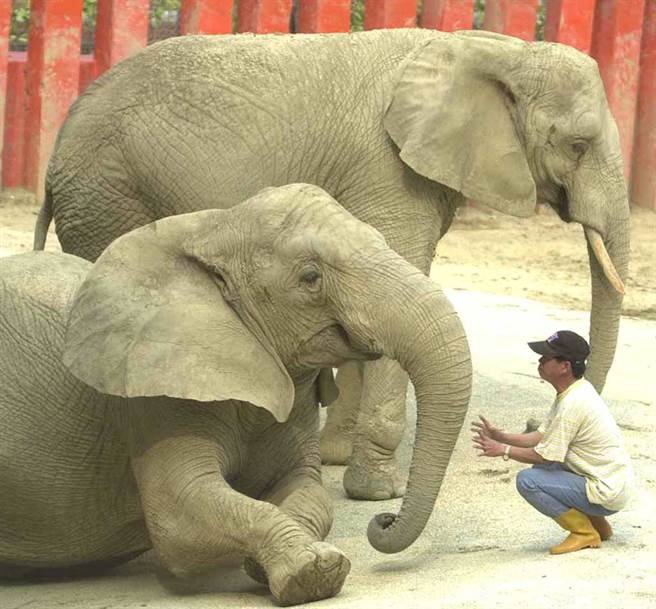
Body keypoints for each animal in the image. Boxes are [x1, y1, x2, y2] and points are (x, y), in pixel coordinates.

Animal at [1, 184, 471, 605]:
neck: (211, 228)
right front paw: (314, 572)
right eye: (311, 277)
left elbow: (308, 492)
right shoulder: (154, 399)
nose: (384, 519)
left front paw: (278, 563)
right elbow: (178, 517)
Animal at [35, 28, 630, 502]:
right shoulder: (388, 167)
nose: (532, 418)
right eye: (577, 145)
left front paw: (336, 456)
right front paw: (375, 493)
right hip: (108, 196)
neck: (496, 50)